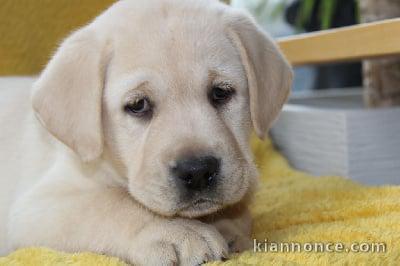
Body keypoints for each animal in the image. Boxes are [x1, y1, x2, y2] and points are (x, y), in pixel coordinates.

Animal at [0, 0, 290, 262]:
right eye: (138, 105)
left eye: (221, 92)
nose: (197, 171)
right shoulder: (36, 207)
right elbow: (112, 203)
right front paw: (177, 232)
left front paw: (229, 227)